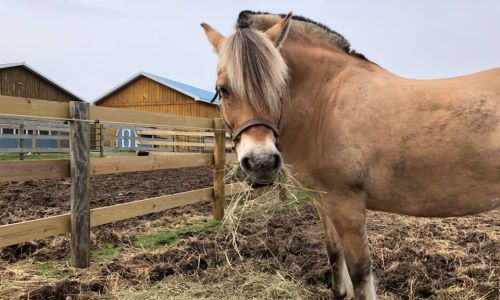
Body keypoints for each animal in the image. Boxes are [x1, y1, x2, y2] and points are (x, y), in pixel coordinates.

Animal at [200, 10, 500, 298]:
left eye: (280, 87)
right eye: (224, 90)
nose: (261, 163)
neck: (325, 103)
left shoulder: (347, 205)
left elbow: (359, 272)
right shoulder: (324, 202)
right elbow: (334, 255)